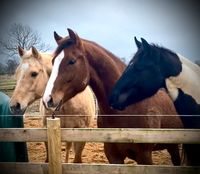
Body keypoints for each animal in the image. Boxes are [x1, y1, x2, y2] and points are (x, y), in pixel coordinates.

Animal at [42, 29, 183, 165]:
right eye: (53, 61)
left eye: (72, 61)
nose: (47, 99)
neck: (128, 108)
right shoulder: (113, 156)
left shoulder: (145, 157)